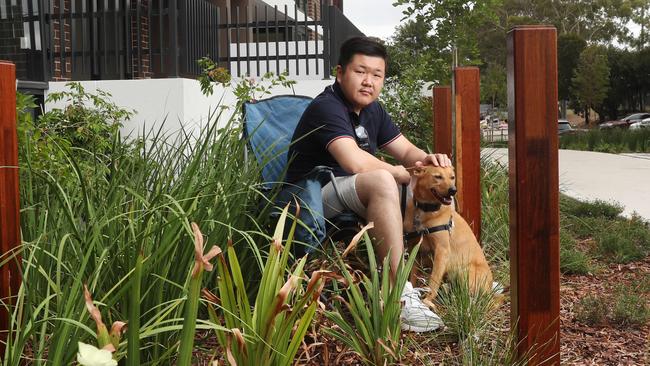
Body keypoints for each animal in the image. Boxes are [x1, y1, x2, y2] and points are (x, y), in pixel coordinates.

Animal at [400, 165, 492, 304]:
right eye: (438, 176)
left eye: (452, 177)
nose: (453, 190)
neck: (425, 211)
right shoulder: (415, 250)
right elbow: (413, 276)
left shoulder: (441, 251)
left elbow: (433, 280)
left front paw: (427, 300)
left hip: (463, 271)